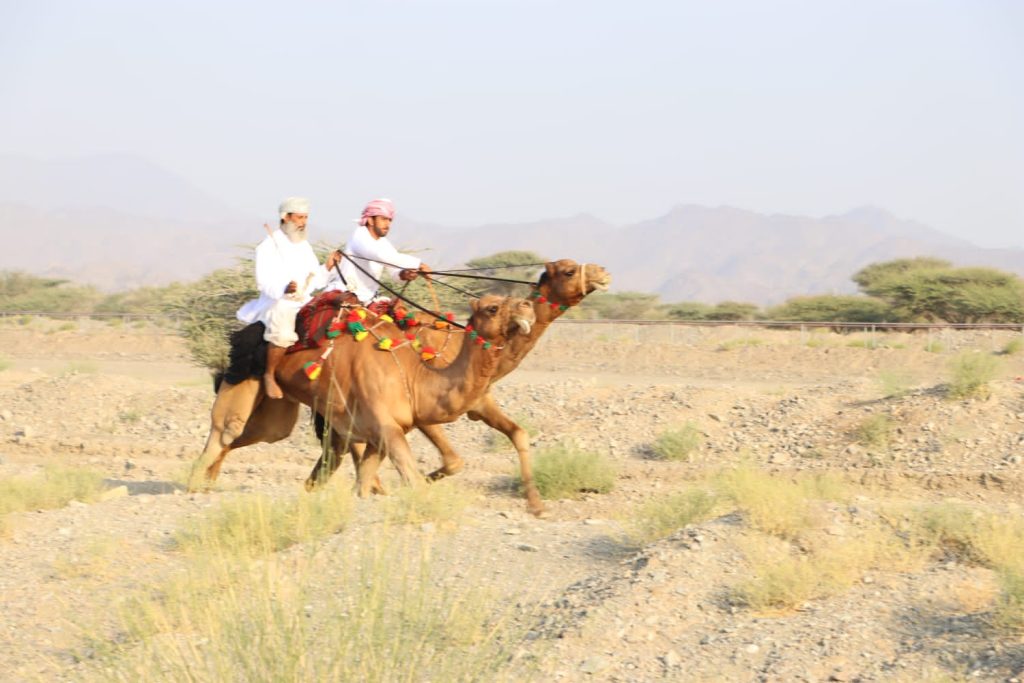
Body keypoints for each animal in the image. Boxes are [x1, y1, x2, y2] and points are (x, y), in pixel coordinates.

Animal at [188, 295, 535, 497]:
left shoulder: (377, 435)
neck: (414, 374)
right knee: (226, 429)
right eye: (493, 307)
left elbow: (363, 484)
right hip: (245, 377)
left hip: (280, 409)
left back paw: (210, 480)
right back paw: (193, 483)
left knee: (264, 434)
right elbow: (412, 480)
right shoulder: (387, 428)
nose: (528, 305)